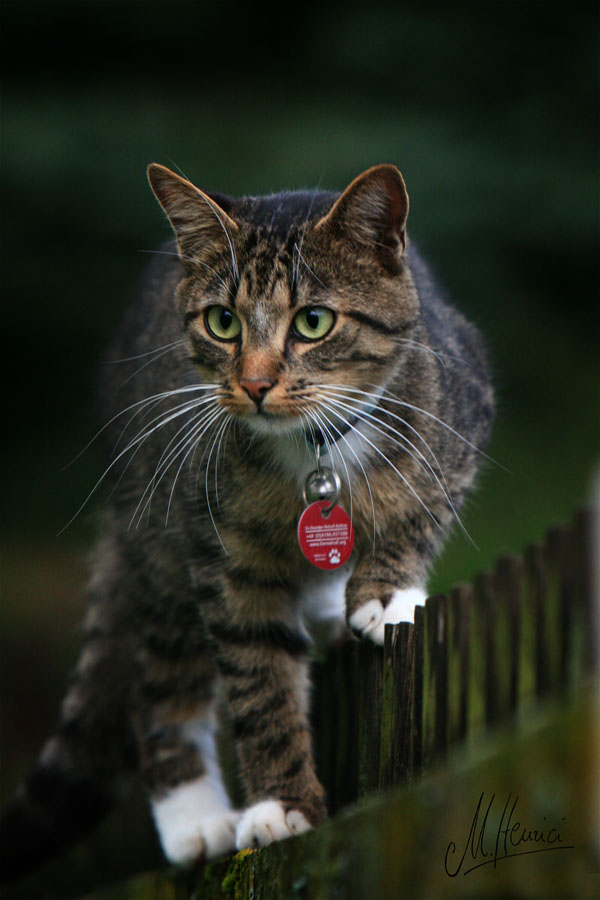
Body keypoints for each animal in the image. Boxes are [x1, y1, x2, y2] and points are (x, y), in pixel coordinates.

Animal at [2, 162, 494, 880]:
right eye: (223, 322)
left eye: (313, 321)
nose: (256, 384)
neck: (312, 453)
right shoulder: (221, 553)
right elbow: (258, 677)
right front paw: (282, 806)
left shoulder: (462, 409)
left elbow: (422, 509)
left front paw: (384, 596)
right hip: (154, 531)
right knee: (161, 677)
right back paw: (192, 818)